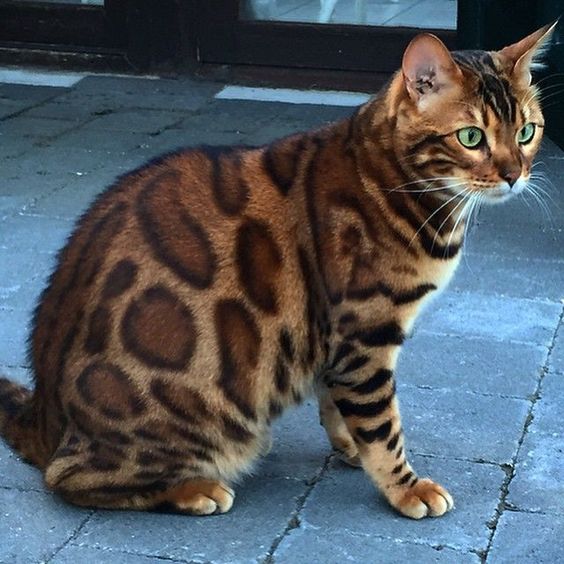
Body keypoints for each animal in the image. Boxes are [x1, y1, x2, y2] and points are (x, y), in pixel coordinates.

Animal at [0, 26, 556, 520]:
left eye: (526, 132)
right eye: (471, 137)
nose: (514, 174)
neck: (397, 180)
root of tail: (42, 415)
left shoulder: (334, 339)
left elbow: (335, 400)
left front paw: (348, 445)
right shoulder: (365, 333)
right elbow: (382, 427)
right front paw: (405, 488)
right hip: (202, 426)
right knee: (67, 477)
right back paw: (193, 490)